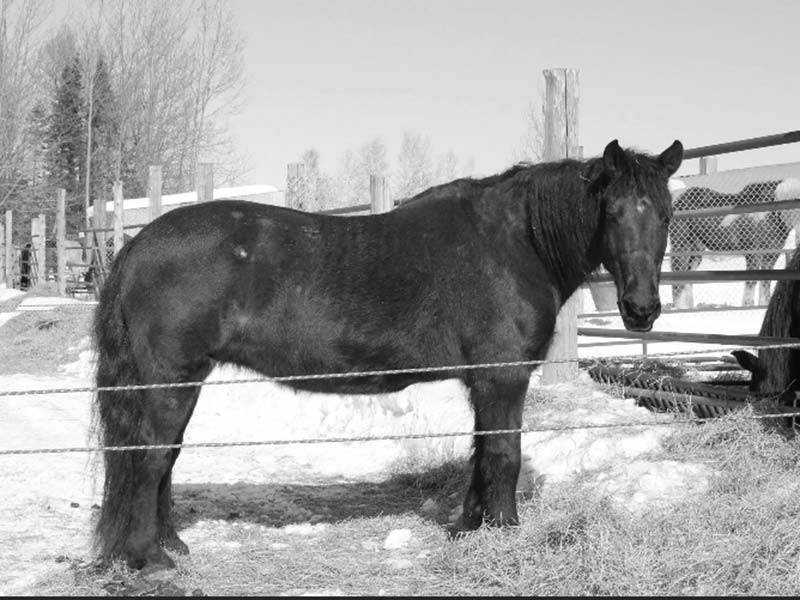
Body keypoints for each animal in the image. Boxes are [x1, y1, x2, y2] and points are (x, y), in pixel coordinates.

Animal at [92, 137, 680, 572]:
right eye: (613, 212)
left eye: (667, 215)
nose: (642, 309)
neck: (514, 245)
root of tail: (138, 245)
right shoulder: (503, 377)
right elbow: (503, 454)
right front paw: (505, 531)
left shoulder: (482, 382)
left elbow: (479, 452)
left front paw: (469, 526)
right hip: (171, 383)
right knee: (149, 458)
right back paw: (150, 559)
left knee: (164, 458)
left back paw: (170, 545)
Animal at [672, 180, 792, 308]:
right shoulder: (753, 253)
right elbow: (751, 281)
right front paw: (747, 306)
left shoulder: (772, 254)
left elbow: (766, 281)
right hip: (682, 244)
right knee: (678, 273)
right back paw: (680, 307)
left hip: (696, 250)